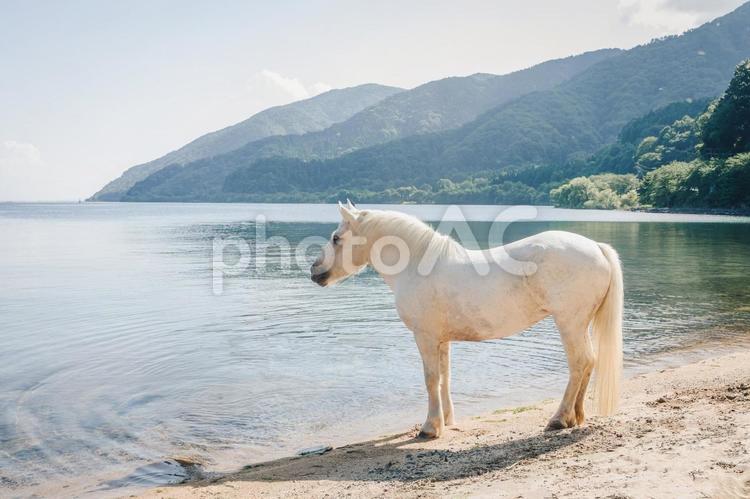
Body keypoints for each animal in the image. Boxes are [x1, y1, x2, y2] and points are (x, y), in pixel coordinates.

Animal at [311, 202, 623, 438]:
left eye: (336, 238)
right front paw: (446, 421)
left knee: (579, 363)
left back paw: (559, 418)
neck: (418, 265)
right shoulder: (442, 340)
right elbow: (445, 378)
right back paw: (575, 417)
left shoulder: (424, 337)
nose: (314, 271)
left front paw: (429, 428)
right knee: (588, 363)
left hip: (569, 323)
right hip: (579, 325)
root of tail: (596, 247)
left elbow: (430, 379)